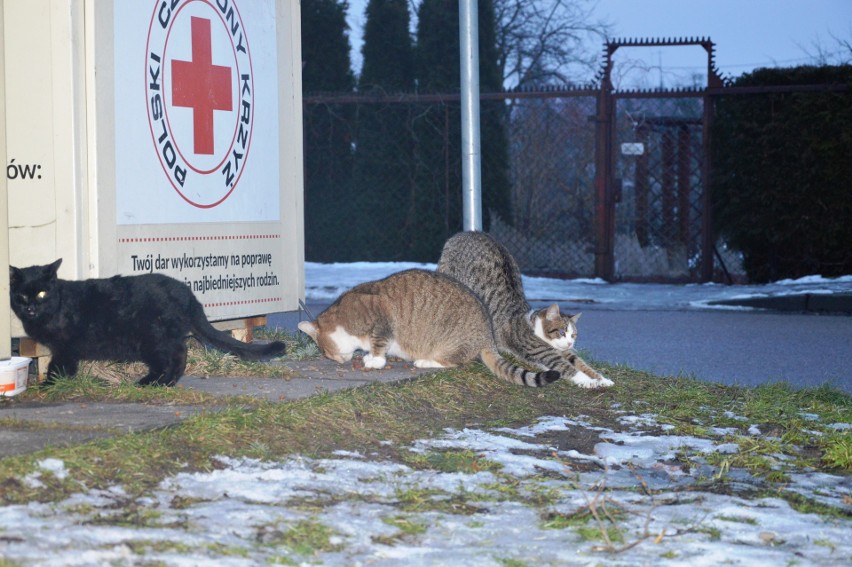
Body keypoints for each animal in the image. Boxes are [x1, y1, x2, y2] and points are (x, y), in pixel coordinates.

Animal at [10, 260, 288, 388]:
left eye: (42, 293)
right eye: (22, 295)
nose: (30, 307)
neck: (56, 307)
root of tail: (188, 294)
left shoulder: (65, 347)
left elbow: (57, 367)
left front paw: (50, 385)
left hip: (150, 339)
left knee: (175, 355)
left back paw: (154, 382)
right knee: (178, 355)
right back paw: (163, 382)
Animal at [298, 268, 560, 388]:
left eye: (324, 351)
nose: (334, 360)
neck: (342, 316)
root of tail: (488, 335)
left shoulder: (381, 320)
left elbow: (379, 346)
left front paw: (374, 360)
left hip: (449, 344)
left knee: (454, 362)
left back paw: (425, 361)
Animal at [440, 233, 612, 388]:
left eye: (573, 335)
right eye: (562, 332)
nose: (570, 342)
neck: (535, 325)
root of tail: (462, 234)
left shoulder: (564, 352)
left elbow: (580, 363)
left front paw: (602, 379)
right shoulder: (543, 352)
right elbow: (567, 368)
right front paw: (589, 381)